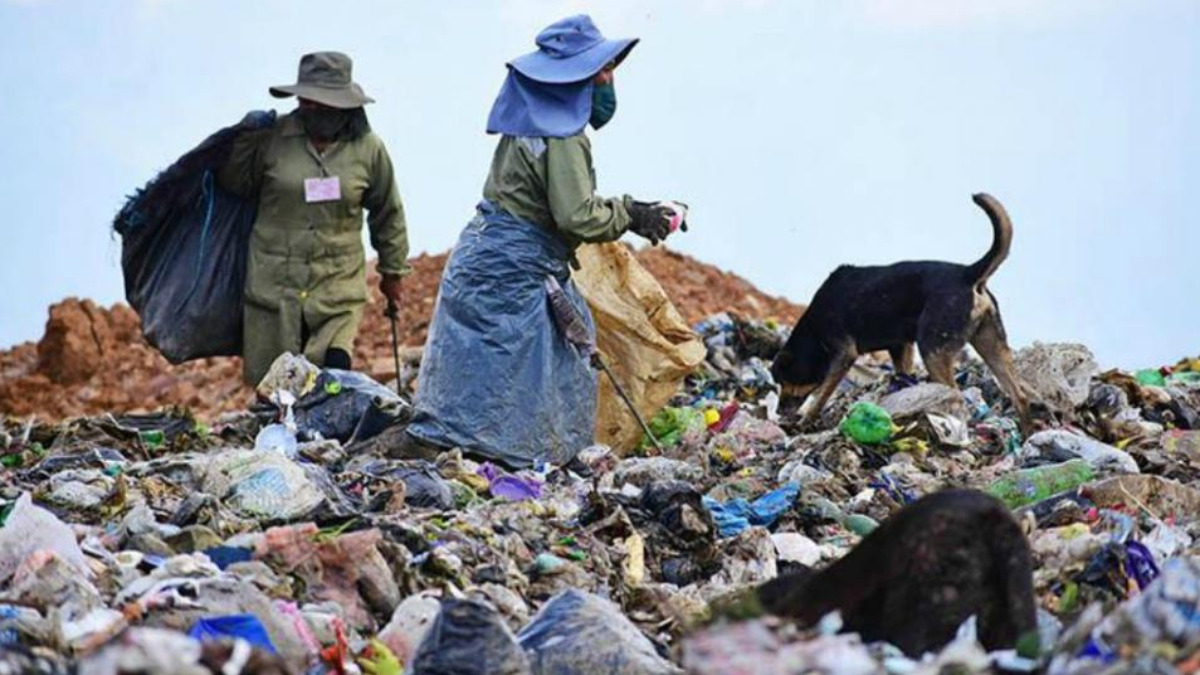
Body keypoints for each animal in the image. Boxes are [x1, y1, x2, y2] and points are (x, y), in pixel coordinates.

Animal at [772, 192, 1027, 427]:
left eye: (783, 381)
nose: (778, 411)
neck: (813, 330)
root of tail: (968, 273)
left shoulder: (844, 354)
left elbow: (824, 391)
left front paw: (808, 418)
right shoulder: (901, 346)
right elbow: (903, 371)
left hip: (934, 349)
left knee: (956, 393)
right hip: (990, 342)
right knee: (1020, 395)